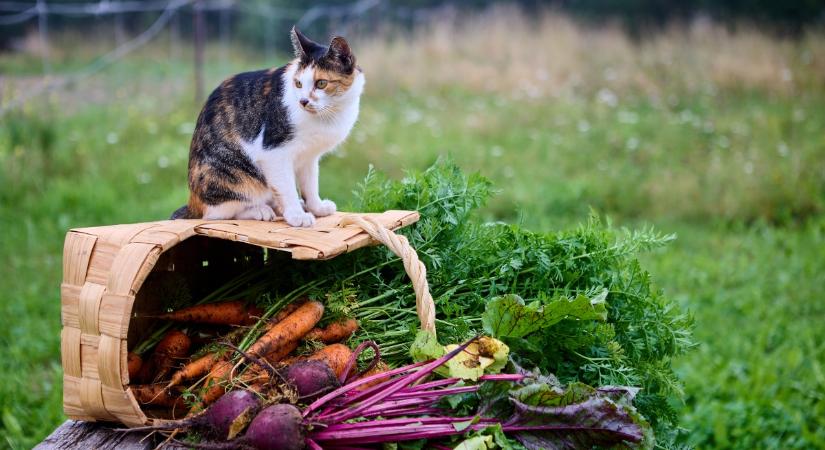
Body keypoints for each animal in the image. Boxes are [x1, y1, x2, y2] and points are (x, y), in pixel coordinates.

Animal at [171, 26, 364, 227]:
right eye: (299, 84)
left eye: (321, 83)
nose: (303, 101)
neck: (329, 113)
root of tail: (192, 203)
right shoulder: (274, 152)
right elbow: (287, 188)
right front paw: (296, 215)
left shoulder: (309, 157)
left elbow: (310, 184)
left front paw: (316, 207)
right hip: (232, 177)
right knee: (217, 214)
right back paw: (260, 211)